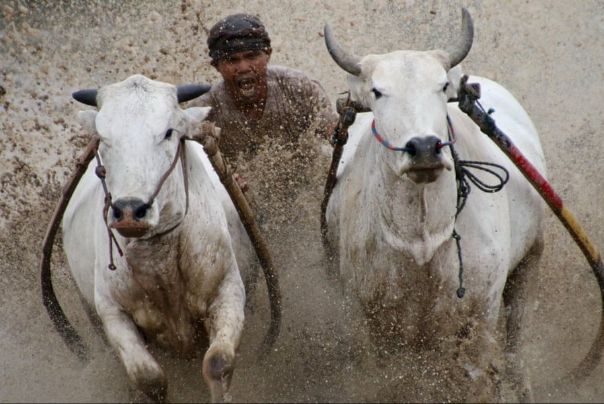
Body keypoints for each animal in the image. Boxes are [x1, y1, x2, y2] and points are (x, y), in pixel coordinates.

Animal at [54, 74, 258, 402]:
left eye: (168, 132)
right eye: (104, 138)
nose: (129, 211)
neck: (159, 262)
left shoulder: (228, 290)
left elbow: (218, 362)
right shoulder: (112, 313)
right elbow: (149, 378)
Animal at [326, 8, 548, 400]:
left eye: (442, 86)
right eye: (377, 91)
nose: (425, 147)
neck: (422, 238)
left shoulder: (481, 312)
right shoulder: (361, 316)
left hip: (530, 264)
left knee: (516, 358)